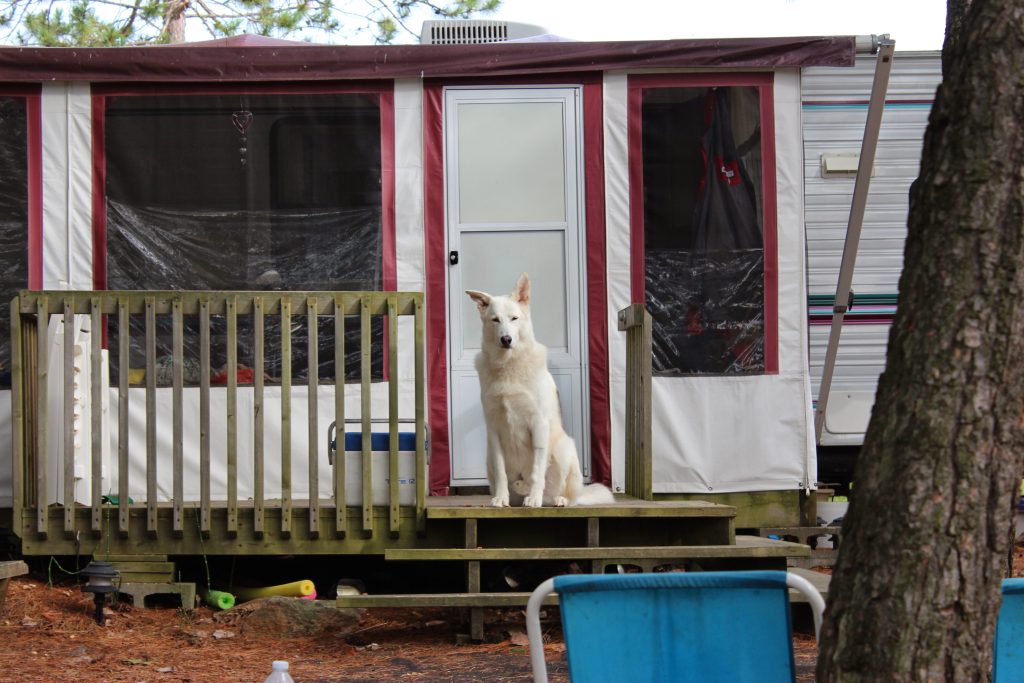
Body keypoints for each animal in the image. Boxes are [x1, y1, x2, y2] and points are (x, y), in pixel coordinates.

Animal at [466, 274, 614, 507]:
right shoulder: (494, 429)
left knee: (564, 495)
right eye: (495, 320)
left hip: (564, 448)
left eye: (514, 318)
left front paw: (533, 498)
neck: (509, 365)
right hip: (488, 455)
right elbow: (501, 472)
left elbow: (537, 471)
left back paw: (554, 499)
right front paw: (501, 498)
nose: (506, 339)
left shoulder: (538, 424)